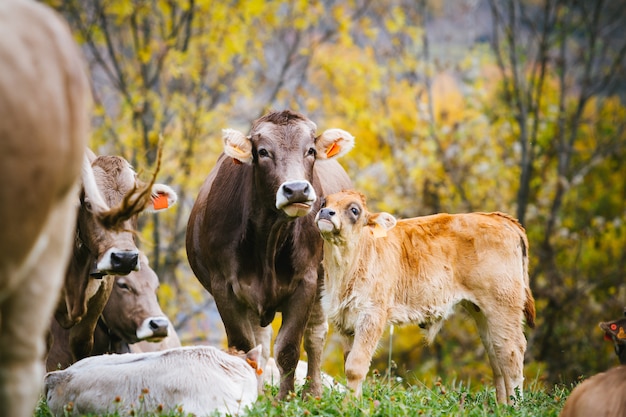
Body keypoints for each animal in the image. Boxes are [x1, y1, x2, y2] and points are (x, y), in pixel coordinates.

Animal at [185, 108, 354, 396]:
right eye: (263, 151)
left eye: (310, 150)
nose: (296, 189)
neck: (268, 240)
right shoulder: (224, 287)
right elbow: (244, 346)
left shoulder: (306, 282)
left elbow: (288, 348)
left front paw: (286, 398)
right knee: (261, 343)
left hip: (325, 282)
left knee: (315, 335)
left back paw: (313, 392)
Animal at [314, 191, 532, 404]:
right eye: (324, 202)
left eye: (354, 209)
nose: (326, 212)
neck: (344, 272)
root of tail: (499, 218)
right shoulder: (344, 321)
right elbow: (348, 363)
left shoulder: (371, 316)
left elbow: (355, 367)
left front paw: (349, 406)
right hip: (482, 311)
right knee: (496, 355)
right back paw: (502, 406)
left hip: (503, 305)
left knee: (511, 351)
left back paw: (514, 406)